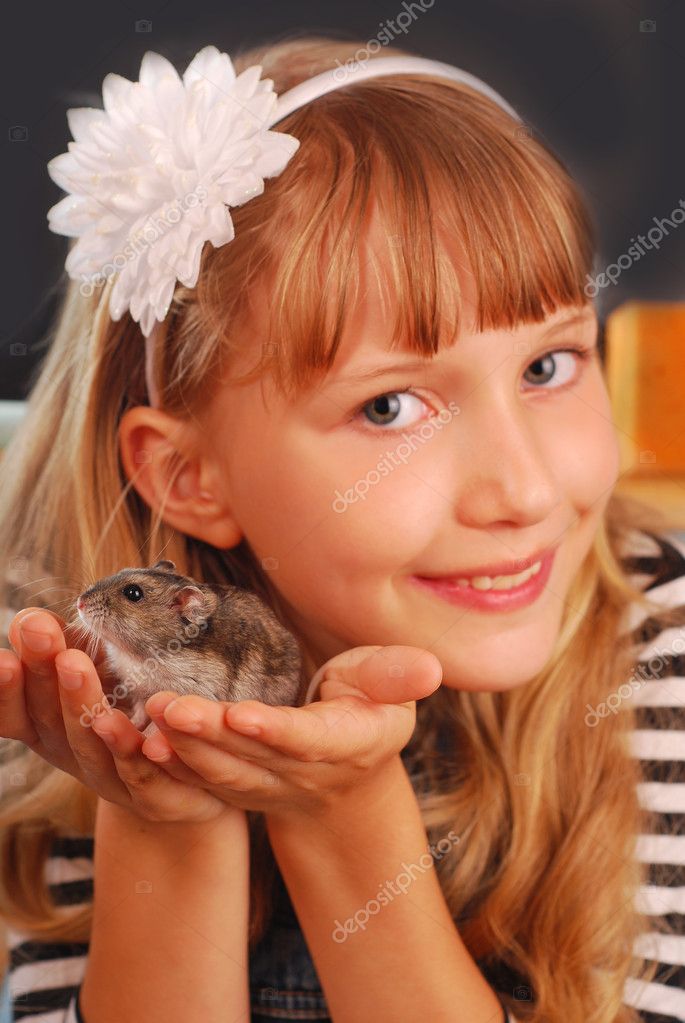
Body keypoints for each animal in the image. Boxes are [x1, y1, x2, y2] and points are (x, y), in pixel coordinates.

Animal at [74, 559, 303, 730]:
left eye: (133, 593)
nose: (80, 602)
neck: (137, 655)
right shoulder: (139, 692)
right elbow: (139, 710)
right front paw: (131, 723)